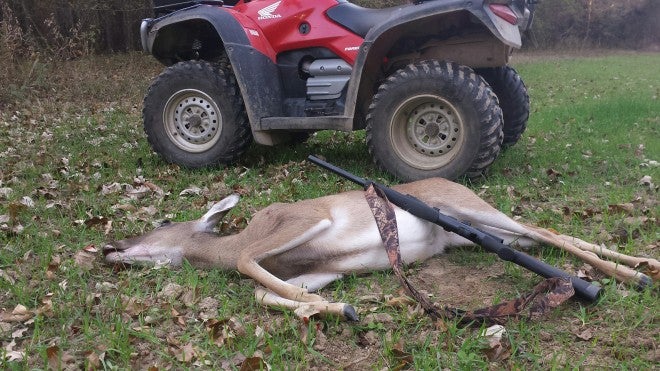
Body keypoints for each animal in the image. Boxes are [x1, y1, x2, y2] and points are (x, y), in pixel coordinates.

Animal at [102, 179, 656, 322]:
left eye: (161, 224)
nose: (109, 247)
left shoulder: (301, 218)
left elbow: (245, 264)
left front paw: (320, 305)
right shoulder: (316, 268)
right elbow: (263, 291)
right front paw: (331, 307)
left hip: (467, 206)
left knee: (547, 234)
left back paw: (629, 277)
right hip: (467, 229)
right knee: (541, 233)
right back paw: (643, 264)